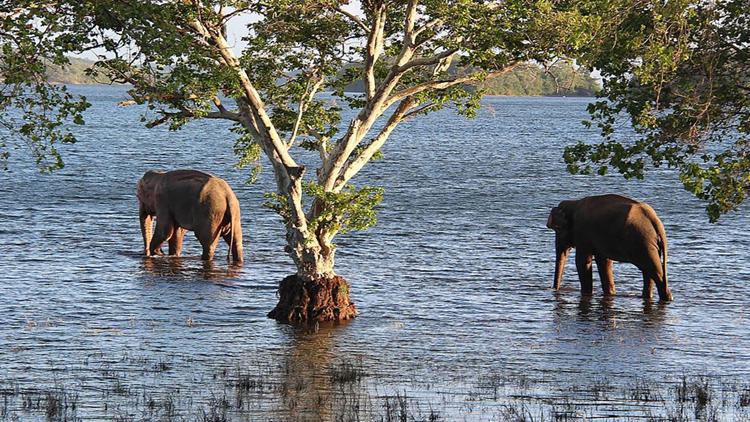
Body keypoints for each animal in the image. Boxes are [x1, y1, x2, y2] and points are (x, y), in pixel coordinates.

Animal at [548, 193, 676, 302]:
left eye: (557, 229)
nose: (554, 290)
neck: (574, 202)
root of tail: (655, 220)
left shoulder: (583, 232)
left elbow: (583, 262)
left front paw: (587, 293)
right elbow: (604, 262)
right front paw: (610, 293)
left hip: (643, 242)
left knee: (654, 271)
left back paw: (666, 298)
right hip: (648, 244)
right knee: (648, 271)